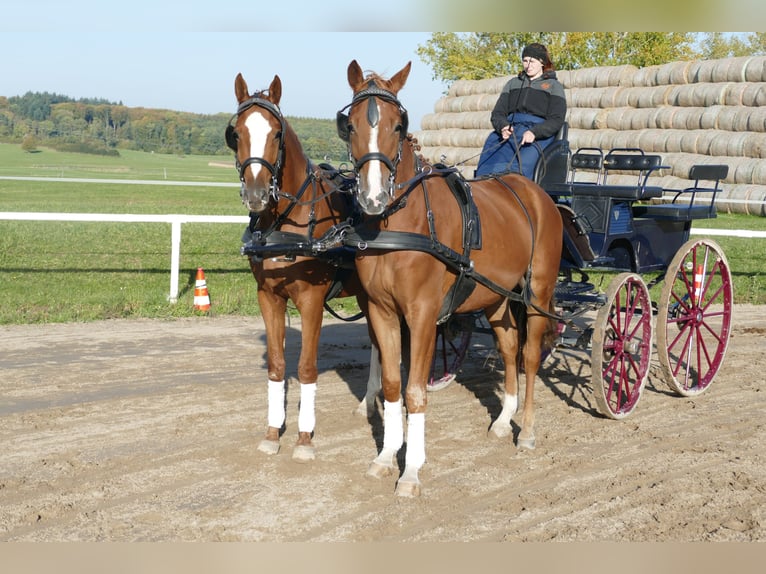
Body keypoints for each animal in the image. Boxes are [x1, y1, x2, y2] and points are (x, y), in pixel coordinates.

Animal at [228, 73, 384, 464]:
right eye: (236, 132)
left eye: (276, 133)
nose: (256, 194)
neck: (286, 223)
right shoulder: (268, 297)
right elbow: (277, 365)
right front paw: (272, 433)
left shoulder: (311, 301)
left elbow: (306, 367)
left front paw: (304, 438)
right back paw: (368, 403)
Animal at [340, 60, 564, 498]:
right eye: (351, 125)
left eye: (398, 124)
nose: (373, 198)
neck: (399, 224)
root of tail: (533, 191)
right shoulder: (381, 311)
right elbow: (391, 386)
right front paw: (385, 457)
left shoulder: (423, 315)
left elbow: (415, 391)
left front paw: (411, 471)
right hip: (497, 298)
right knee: (509, 348)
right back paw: (503, 420)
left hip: (538, 291)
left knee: (529, 356)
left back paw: (527, 430)